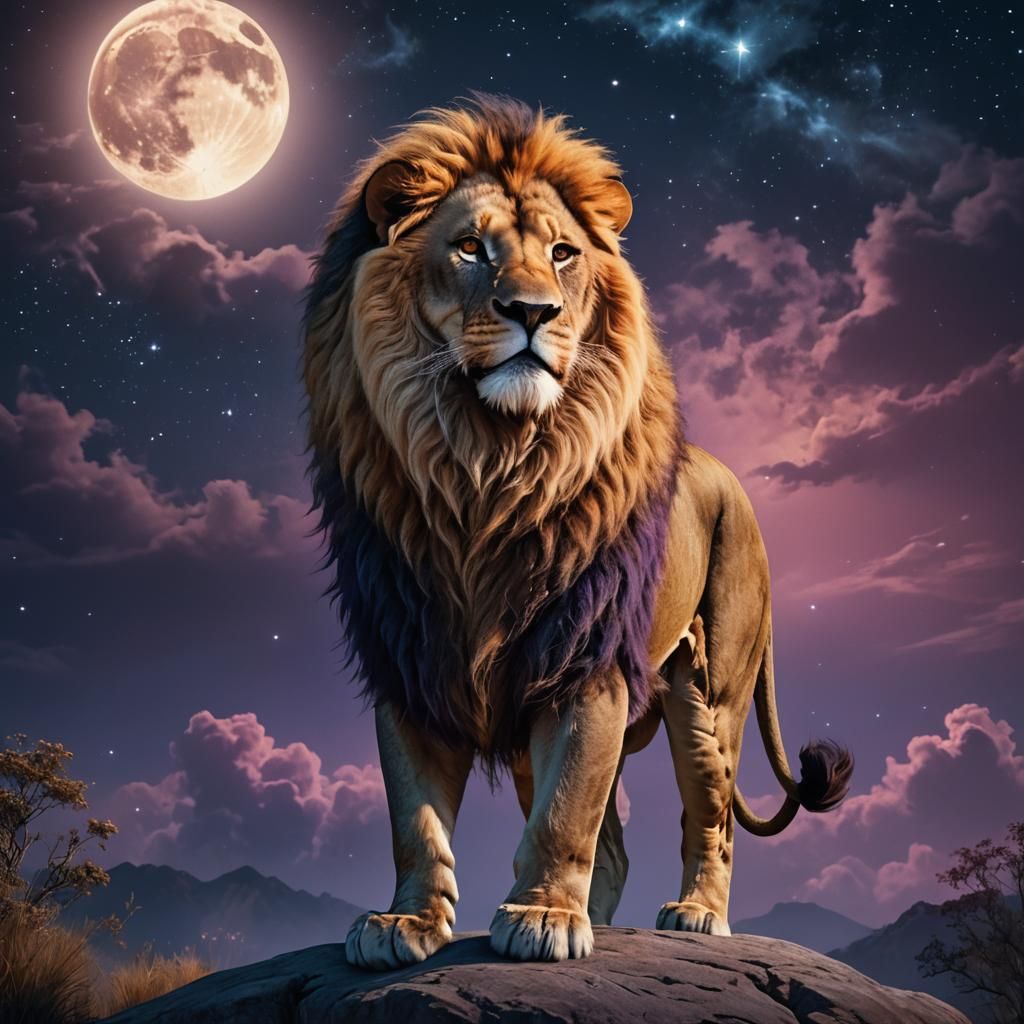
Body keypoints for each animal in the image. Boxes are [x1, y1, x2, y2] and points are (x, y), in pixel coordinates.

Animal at [303, 93, 853, 968]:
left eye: (562, 254)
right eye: (470, 247)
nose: (533, 312)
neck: (483, 467)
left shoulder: (580, 655)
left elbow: (568, 808)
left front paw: (544, 920)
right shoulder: (411, 655)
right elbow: (415, 818)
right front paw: (407, 924)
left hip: (709, 693)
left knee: (712, 816)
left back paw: (693, 914)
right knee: (616, 843)